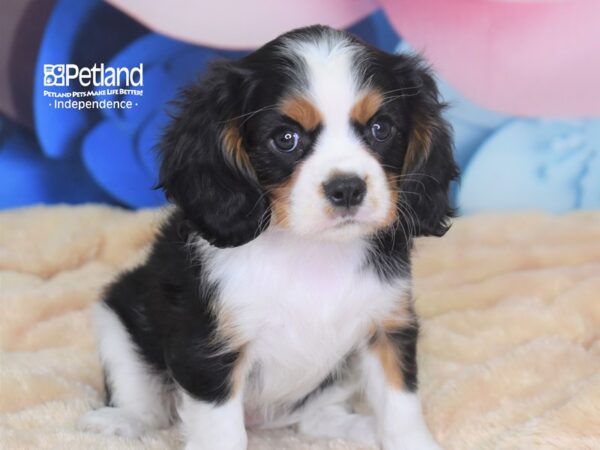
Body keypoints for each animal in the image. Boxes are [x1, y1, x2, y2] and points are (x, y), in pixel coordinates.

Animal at [79, 25, 460, 450]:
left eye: (380, 129)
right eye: (286, 138)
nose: (347, 188)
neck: (310, 248)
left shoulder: (387, 327)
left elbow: (401, 404)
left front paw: (410, 440)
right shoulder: (209, 348)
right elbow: (221, 432)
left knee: (314, 420)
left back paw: (358, 428)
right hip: (117, 319)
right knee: (146, 403)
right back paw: (120, 421)